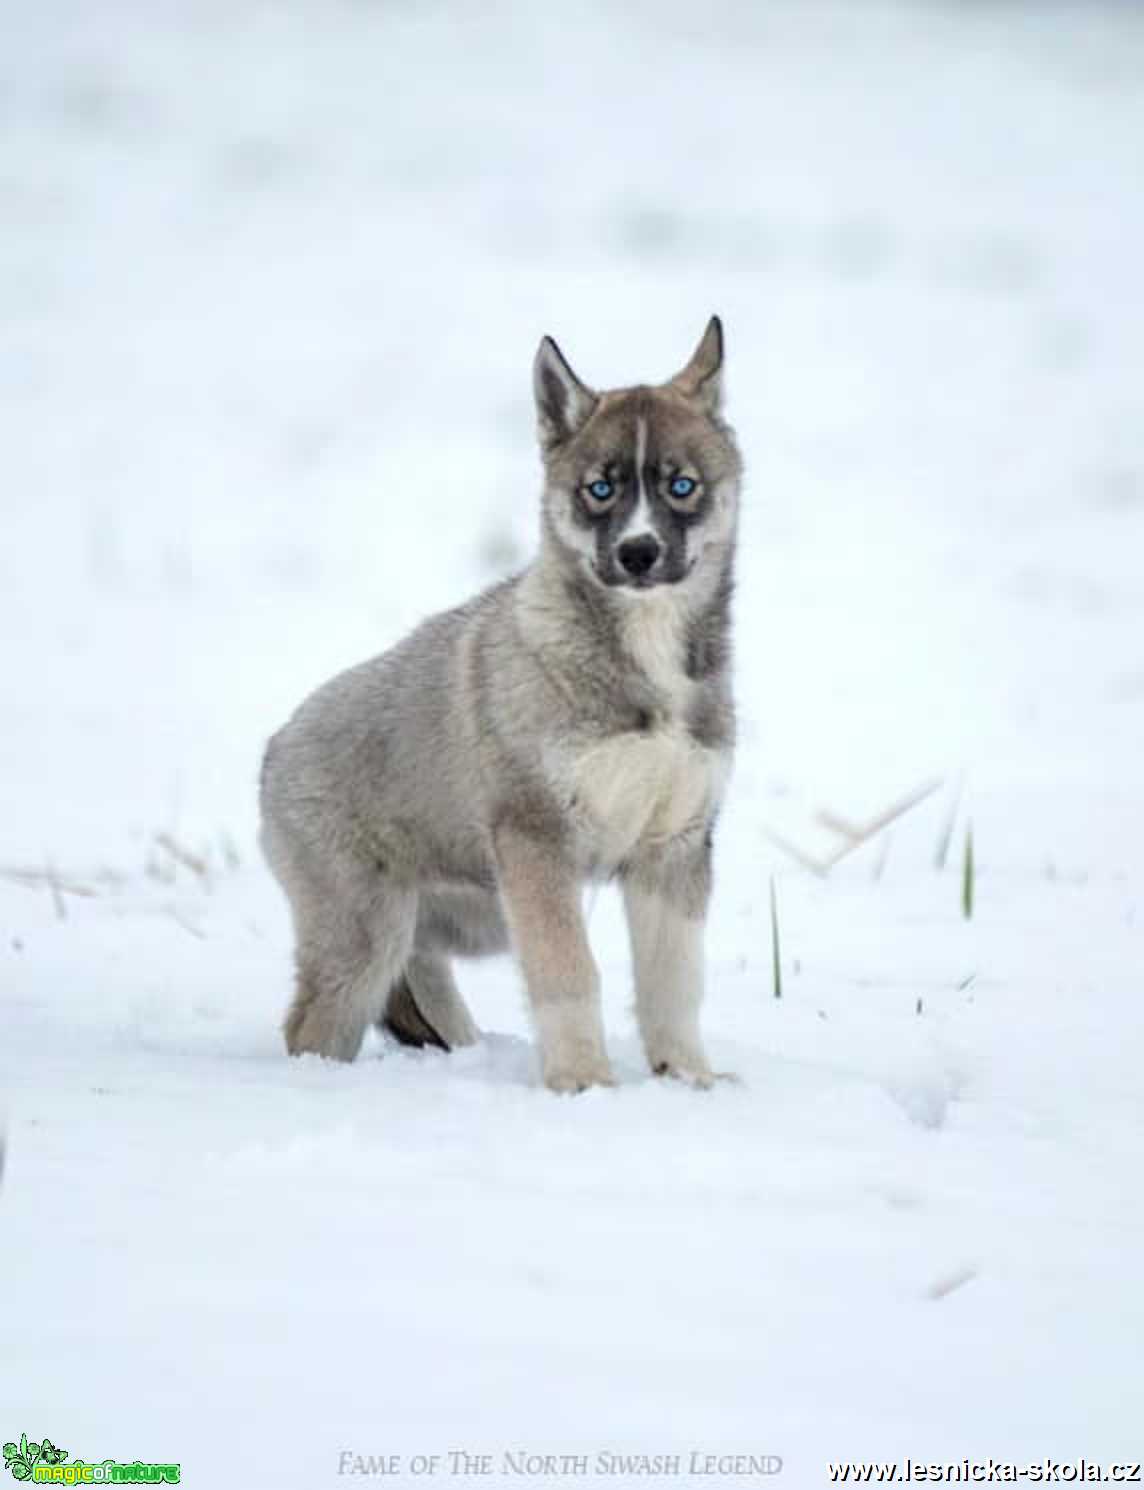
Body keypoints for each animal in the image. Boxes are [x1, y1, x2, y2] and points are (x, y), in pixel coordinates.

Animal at [259, 320, 741, 1096]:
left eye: (681, 486)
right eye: (599, 489)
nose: (638, 553)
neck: (643, 653)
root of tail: (274, 749)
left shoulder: (673, 849)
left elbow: (673, 982)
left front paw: (689, 1080)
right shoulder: (537, 844)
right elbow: (570, 974)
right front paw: (584, 1084)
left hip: (452, 927)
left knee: (425, 997)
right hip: (368, 938)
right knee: (311, 1028)